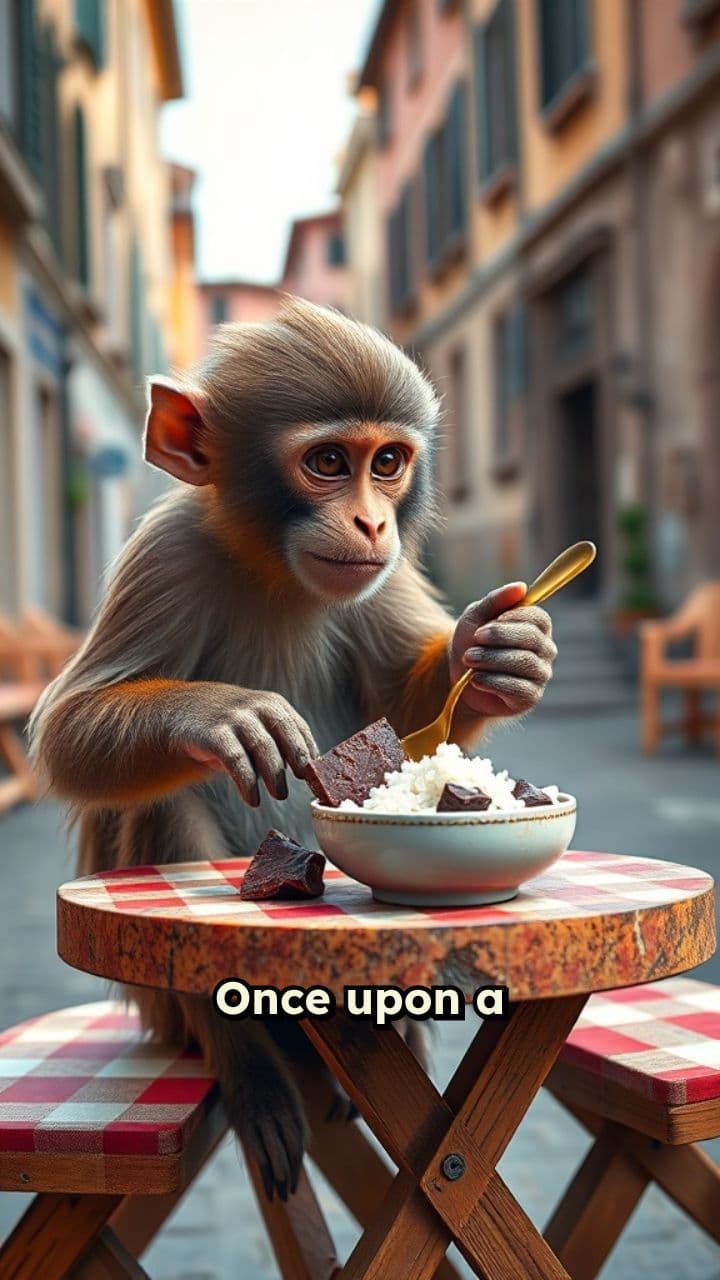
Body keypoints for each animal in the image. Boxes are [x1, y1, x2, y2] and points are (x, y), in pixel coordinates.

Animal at [30, 297, 557, 1202]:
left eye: (388, 462)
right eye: (327, 461)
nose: (371, 520)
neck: (271, 566)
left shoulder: (384, 571)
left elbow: (402, 706)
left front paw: (494, 656)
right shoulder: (165, 552)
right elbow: (68, 734)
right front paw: (221, 714)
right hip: (159, 1011)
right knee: (168, 793)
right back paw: (249, 1066)